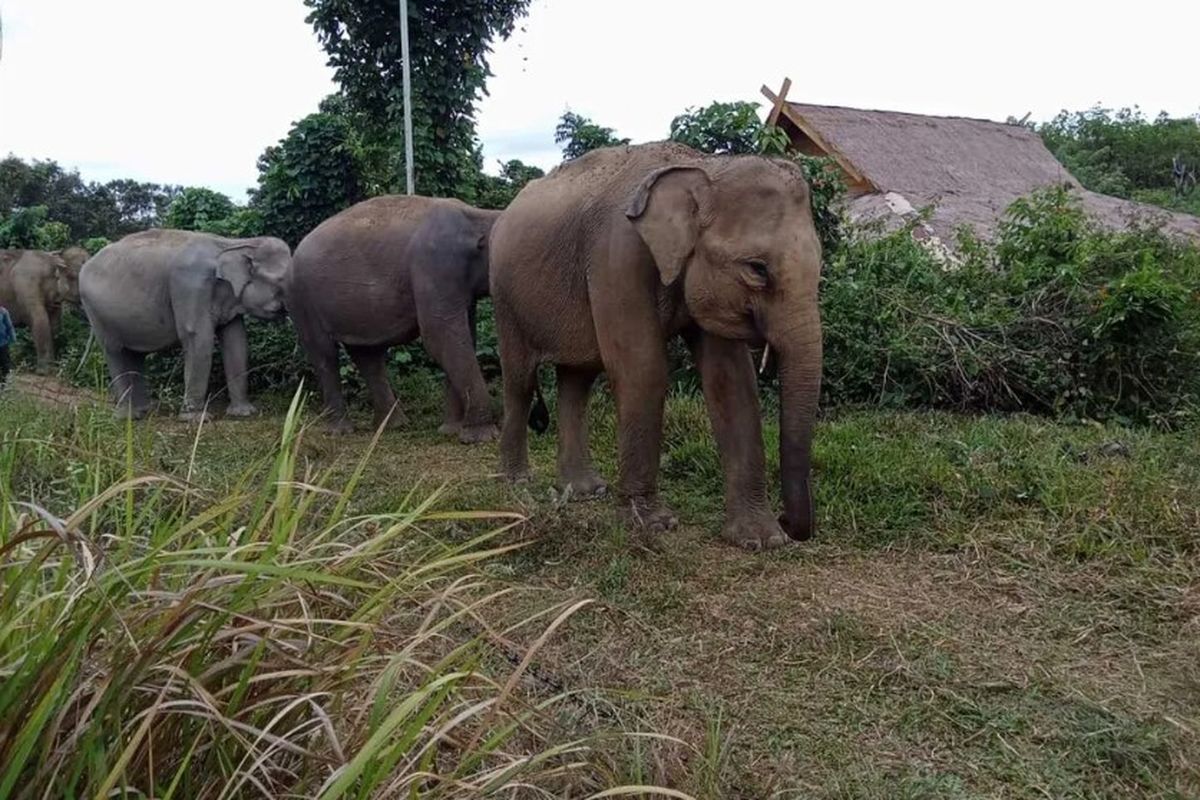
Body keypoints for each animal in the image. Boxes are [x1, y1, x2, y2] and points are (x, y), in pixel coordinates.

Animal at [79, 230, 290, 422]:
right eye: (281, 280)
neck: (234, 243)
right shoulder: (190, 284)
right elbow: (198, 336)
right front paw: (195, 419)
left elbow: (236, 341)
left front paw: (244, 413)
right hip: (97, 312)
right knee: (115, 351)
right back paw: (127, 417)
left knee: (134, 356)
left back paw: (143, 412)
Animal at [289, 196, 501, 441]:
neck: (477, 216)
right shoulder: (435, 266)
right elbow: (440, 338)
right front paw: (481, 437)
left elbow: (462, 338)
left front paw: (451, 430)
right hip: (302, 299)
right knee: (325, 354)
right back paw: (340, 431)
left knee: (366, 356)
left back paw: (394, 426)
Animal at [487, 142, 825, 551]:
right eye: (757, 269)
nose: (790, 522)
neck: (704, 166)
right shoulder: (617, 253)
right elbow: (643, 369)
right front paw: (653, 525)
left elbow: (731, 382)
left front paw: (761, 540)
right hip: (505, 298)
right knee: (520, 381)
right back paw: (517, 482)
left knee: (577, 381)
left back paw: (584, 491)